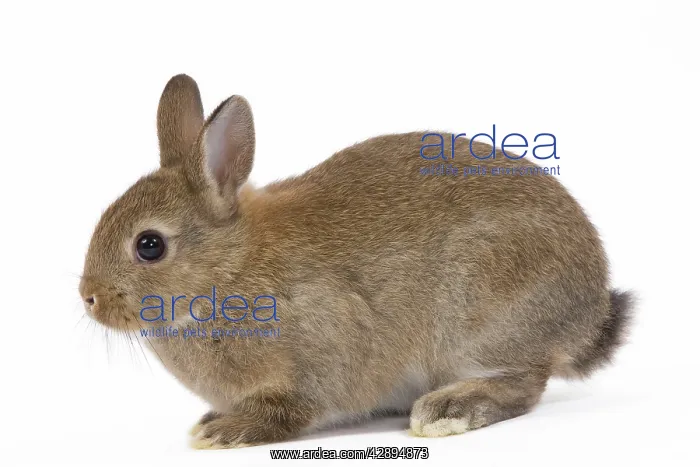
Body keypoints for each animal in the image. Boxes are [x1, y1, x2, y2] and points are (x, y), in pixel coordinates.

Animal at [79, 74, 633, 449]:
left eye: (149, 245)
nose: (89, 297)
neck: (228, 269)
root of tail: (590, 309)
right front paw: (209, 424)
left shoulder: (320, 351)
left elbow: (295, 408)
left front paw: (225, 432)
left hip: (480, 317)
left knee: (525, 382)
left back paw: (447, 410)